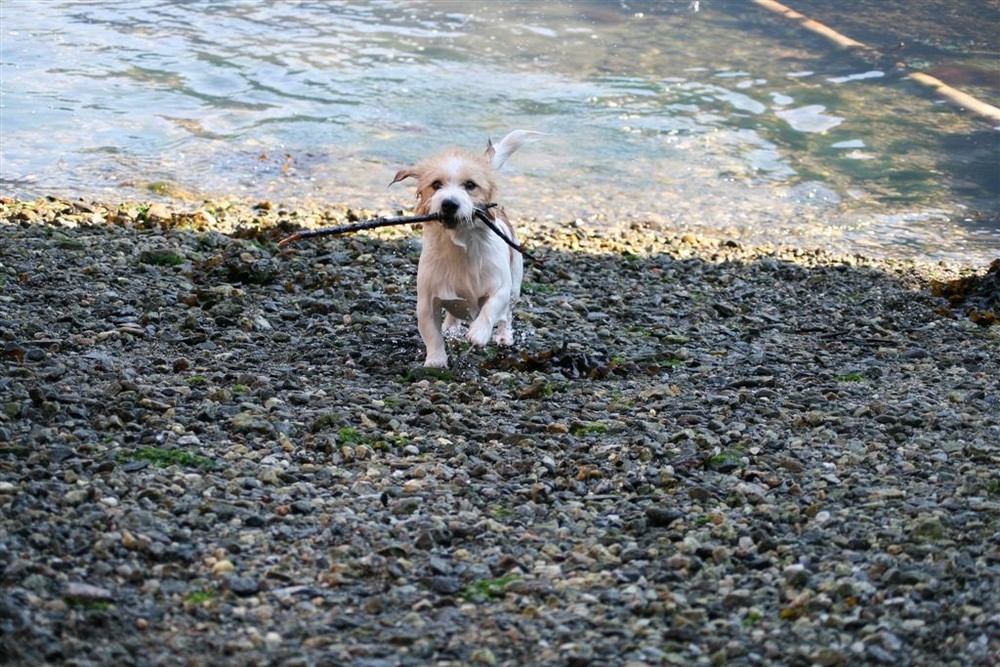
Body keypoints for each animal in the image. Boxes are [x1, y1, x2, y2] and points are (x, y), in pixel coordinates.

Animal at [386, 129, 540, 370]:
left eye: (470, 185)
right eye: (436, 185)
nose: (449, 203)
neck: (459, 246)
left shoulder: (500, 287)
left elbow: (491, 308)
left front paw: (479, 333)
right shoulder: (427, 301)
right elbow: (431, 333)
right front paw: (436, 360)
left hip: (515, 286)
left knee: (506, 315)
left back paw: (504, 336)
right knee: (454, 313)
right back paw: (451, 326)